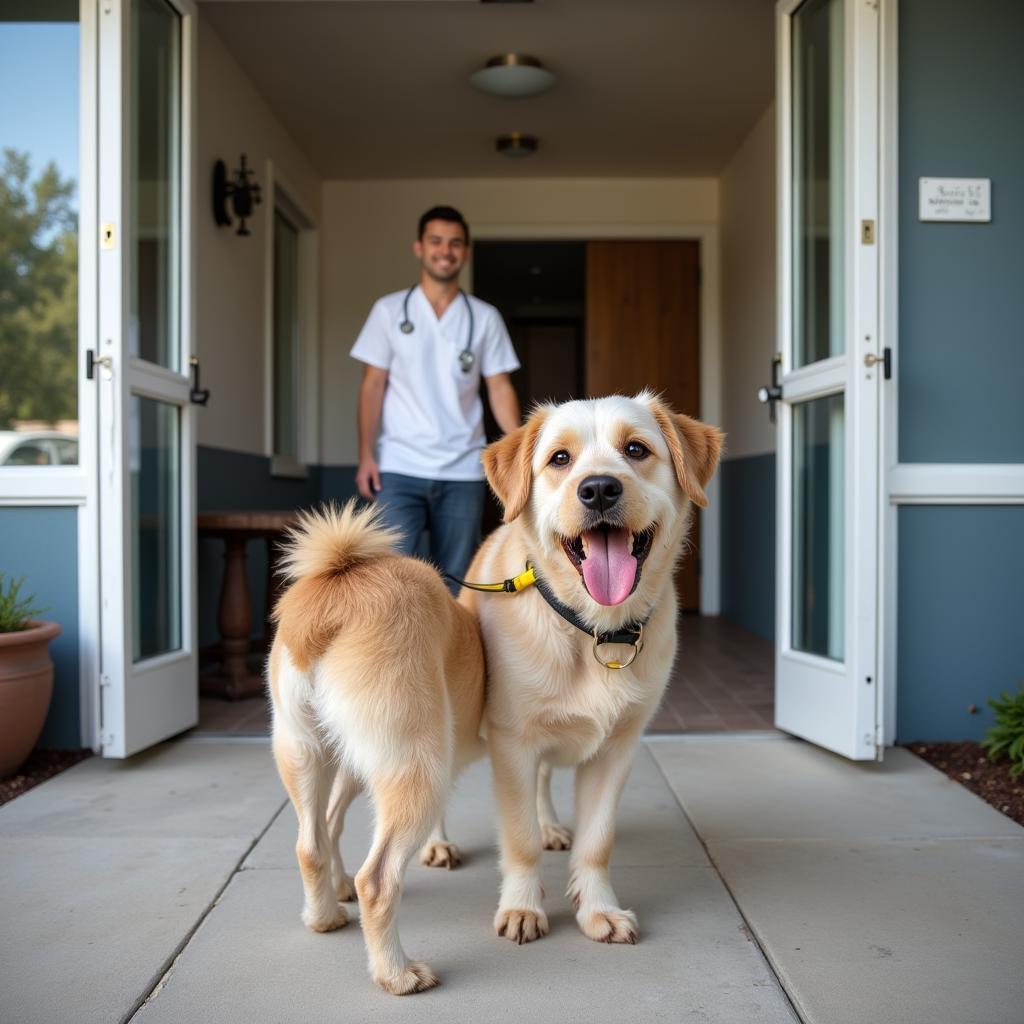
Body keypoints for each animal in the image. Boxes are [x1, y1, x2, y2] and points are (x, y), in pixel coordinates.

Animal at [266, 503, 485, 991]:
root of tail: (338, 593)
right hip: (415, 768)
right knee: (378, 880)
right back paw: (396, 973)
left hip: (315, 755)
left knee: (315, 838)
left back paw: (325, 912)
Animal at [464, 389, 720, 942]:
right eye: (560, 458)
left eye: (636, 449)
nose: (599, 489)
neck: (594, 630)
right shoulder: (512, 742)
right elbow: (519, 839)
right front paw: (522, 907)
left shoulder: (617, 749)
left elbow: (597, 842)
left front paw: (598, 909)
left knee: (543, 783)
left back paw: (550, 824)